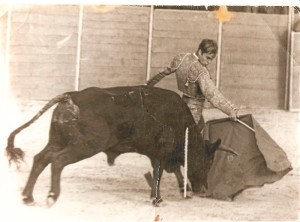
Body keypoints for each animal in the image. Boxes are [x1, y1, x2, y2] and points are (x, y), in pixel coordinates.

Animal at [4, 86, 229, 206]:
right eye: (208, 161)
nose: (203, 189)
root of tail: (71, 96)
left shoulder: (155, 154)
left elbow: (162, 172)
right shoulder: (161, 152)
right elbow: (159, 173)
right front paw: (157, 199)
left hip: (57, 140)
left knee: (41, 159)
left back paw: (28, 197)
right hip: (84, 146)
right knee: (58, 161)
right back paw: (52, 196)